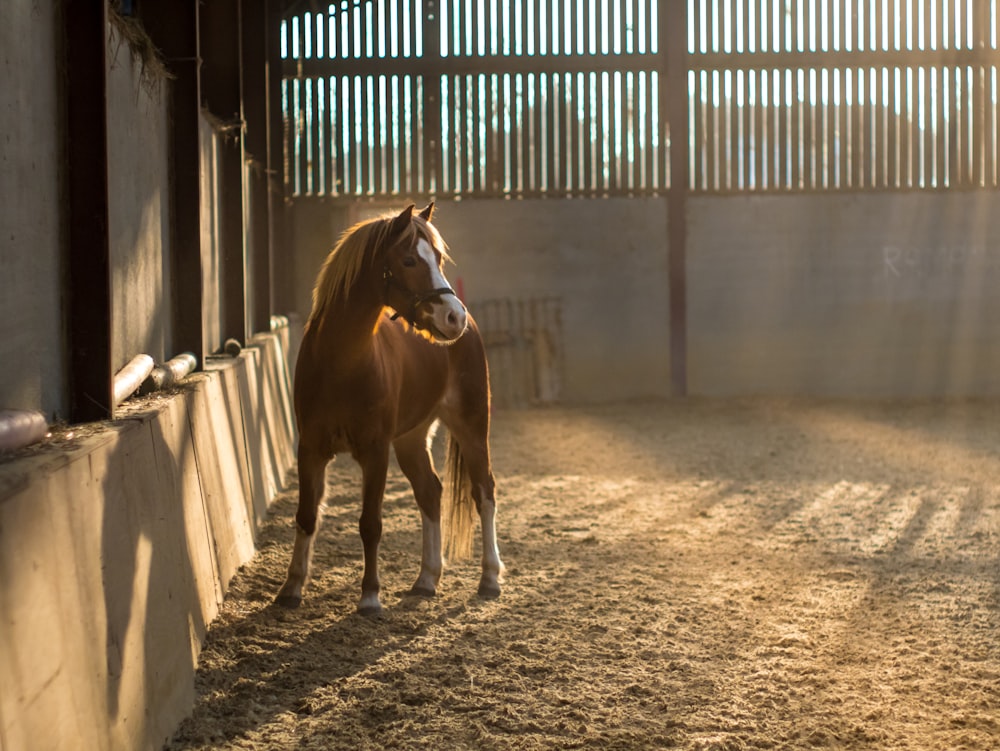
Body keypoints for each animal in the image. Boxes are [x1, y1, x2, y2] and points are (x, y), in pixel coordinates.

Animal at [278, 203, 504, 612]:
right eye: (409, 260)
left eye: (439, 258)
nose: (454, 316)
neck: (341, 363)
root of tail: (473, 329)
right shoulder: (311, 449)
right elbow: (306, 516)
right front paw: (291, 588)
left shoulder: (375, 451)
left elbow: (370, 523)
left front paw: (370, 596)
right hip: (412, 439)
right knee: (430, 492)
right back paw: (427, 579)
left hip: (472, 426)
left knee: (484, 491)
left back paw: (490, 578)